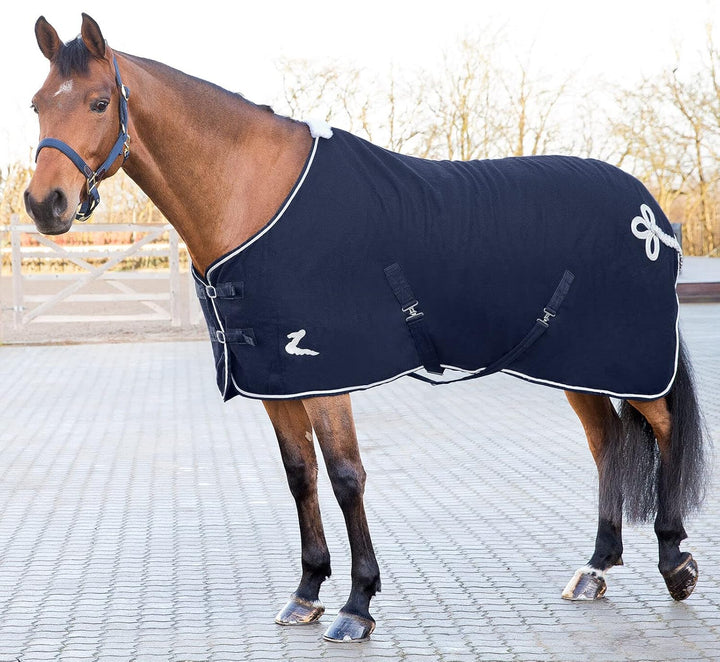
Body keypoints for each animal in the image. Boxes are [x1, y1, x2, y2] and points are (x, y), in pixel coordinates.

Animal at [24, 14, 708, 643]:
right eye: (36, 104)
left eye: (99, 101)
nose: (44, 204)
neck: (257, 195)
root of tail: (652, 212)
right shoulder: (277, 379)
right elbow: (300, 475)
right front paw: (306, 591)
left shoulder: (327, 374)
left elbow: (346, 476)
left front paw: (357, 604)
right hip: (575, 364)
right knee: (607, 443)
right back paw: (596, 567)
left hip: (630, 358)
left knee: (664, 427)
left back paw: (675, 561)